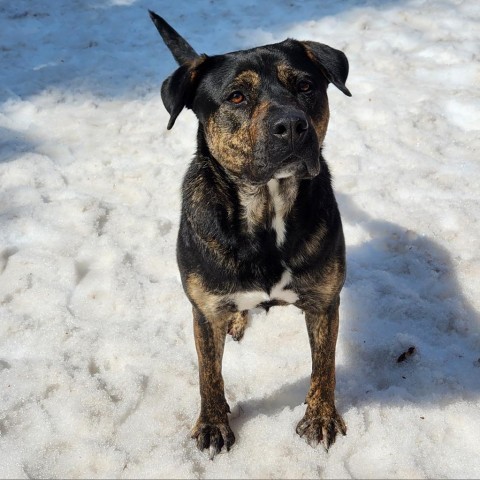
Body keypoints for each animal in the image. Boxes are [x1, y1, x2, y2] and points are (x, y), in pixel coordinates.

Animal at [150, 11, 352, 458]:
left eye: (305, 86)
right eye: (237, 97)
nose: (291, 125)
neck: (267, 210)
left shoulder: (325, 301)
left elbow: (324, 366)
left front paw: (320, 417)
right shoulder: (204, 310)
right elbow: (209, 374)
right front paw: (213, 424)